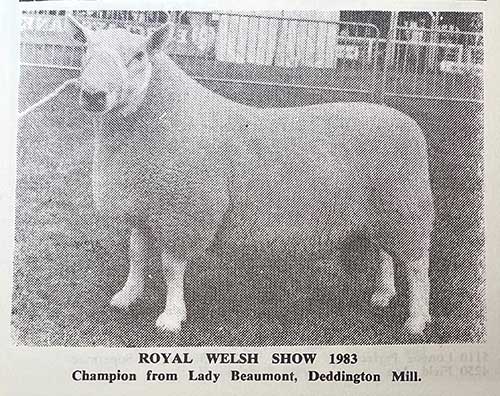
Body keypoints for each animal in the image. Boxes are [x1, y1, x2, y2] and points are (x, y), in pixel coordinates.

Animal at [66, 16, 434, 338]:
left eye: (139, 55)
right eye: (85, 49)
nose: (93, 95)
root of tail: (408, 122)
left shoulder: (185, 213)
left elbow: (171, 268)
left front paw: (171, 316)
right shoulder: (143, 207)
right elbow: (137, 257)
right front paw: (127, 297)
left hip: (406, 206)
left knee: (417, 265)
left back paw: (417, 320)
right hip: (380, 210)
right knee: (386, 253)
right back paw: (384, 294)